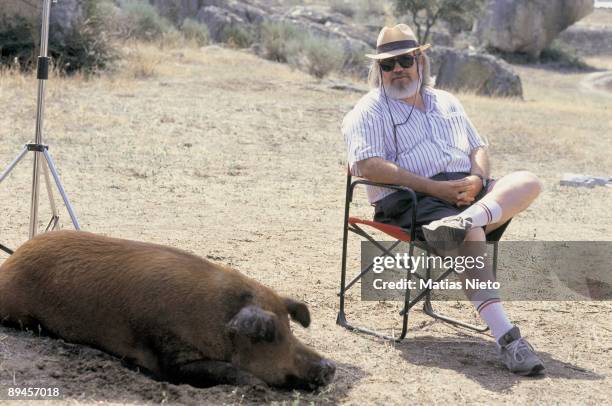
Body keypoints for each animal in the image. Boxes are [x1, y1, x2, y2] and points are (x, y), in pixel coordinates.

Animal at [0, 230, 334, 388]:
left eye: (290, 329)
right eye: (271, 335)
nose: (329, 366)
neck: (217, 321)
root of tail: (12, 259)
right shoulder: (170, 354)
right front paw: (256, 384)